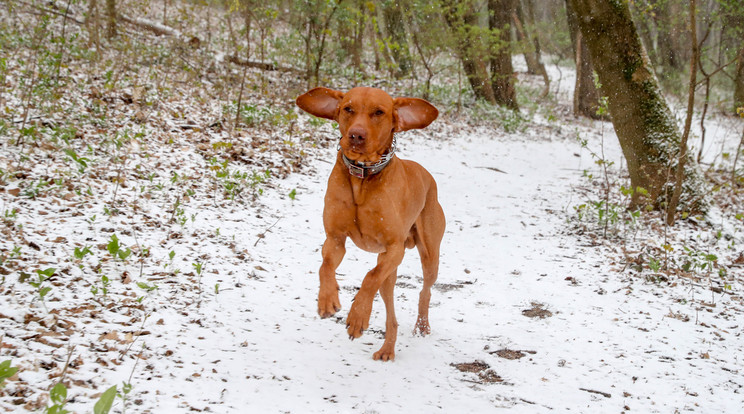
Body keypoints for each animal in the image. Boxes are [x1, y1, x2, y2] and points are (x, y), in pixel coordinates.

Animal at [294, 86, 448, 360]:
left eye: (379, 112)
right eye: (348, 108)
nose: (356, 135)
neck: (363, 176)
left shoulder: (394, 248)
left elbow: (369, 276)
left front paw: (357, 317)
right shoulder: (335, 239)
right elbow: (325, 267)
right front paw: (327, 299)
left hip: (429, 256)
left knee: (425, 290)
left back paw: (422, 325)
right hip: (390, 274)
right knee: (391, 315)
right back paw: (387, 349)